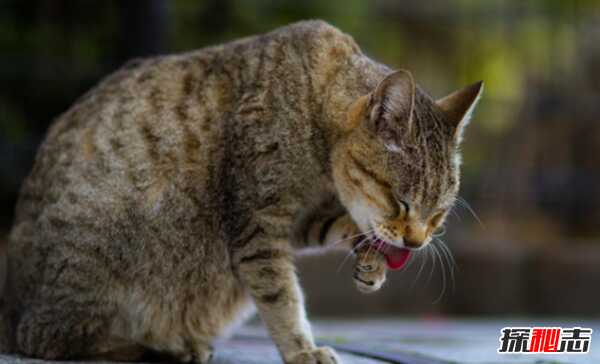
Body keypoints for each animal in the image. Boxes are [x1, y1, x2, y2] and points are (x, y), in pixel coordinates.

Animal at [0, 20, 482, 364]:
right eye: (401, 201)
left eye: (438, 215)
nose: (416, 243)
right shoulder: (257, 224)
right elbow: (282, 296)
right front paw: (301, 349)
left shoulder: (297, 220)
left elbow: (338, 226)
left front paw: (370, 261)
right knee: (48, 340)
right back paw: (163, 346)